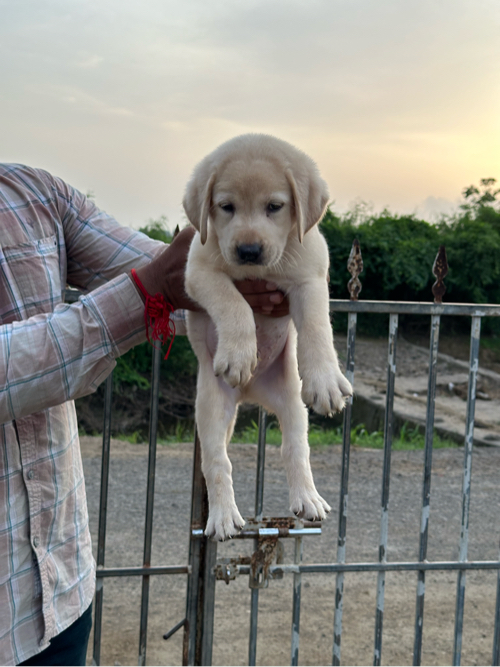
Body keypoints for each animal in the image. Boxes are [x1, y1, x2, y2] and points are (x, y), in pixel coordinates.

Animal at [183, 133, 352, 540]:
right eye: (225, 207)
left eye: (274, 207)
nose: (248, 250)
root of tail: (249, 393)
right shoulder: (198, 271)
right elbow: (234, 303)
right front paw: (240, 355)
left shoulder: (311, 276)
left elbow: (317, 326)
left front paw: (325, 380)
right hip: (210, 406)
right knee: (217, 460)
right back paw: (223, 516)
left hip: (292, 402)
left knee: (295, 448)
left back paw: (308, 499)